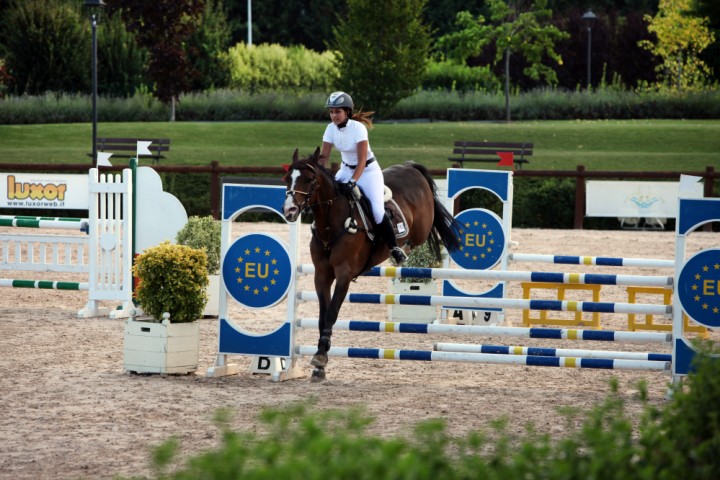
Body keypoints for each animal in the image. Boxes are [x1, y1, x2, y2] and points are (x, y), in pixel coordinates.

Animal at [282, 147, 462, 382]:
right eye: (287, 179)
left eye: (309, 179)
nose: (290, 211)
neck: (331, 223)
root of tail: (410, 166)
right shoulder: (321, 275)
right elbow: (323, 316)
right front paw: (320, 363)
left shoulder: (344, 274)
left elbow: (331, 313)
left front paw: (320, 357)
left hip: (421, 226)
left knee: (423, 234)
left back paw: (401, 251)